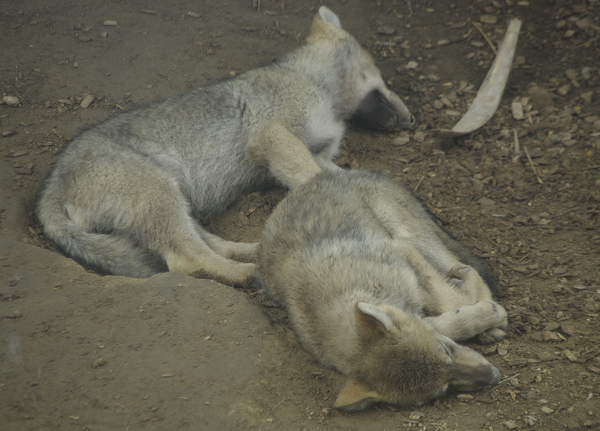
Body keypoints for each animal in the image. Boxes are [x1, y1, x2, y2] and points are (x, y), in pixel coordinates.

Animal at [36, 5, 412, 286]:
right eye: (381, 72)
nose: (412, 119)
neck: (312, 78)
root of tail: (50, 188)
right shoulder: (273, 137)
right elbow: (318, 181)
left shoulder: (315, 154)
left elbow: (342, 176)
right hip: (159, 194)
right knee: (186, 260)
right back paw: (248, 273)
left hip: (176, 199)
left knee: (209, 244)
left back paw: (252, 252)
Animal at [256, 169, 506, 412]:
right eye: (443, 390)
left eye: (446, 349)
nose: (494, 376)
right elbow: (446, 318)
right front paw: (482, 316)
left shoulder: (403, 253)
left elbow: (450, 302)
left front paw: (490, 312)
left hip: (408, 234)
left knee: (463, 265)